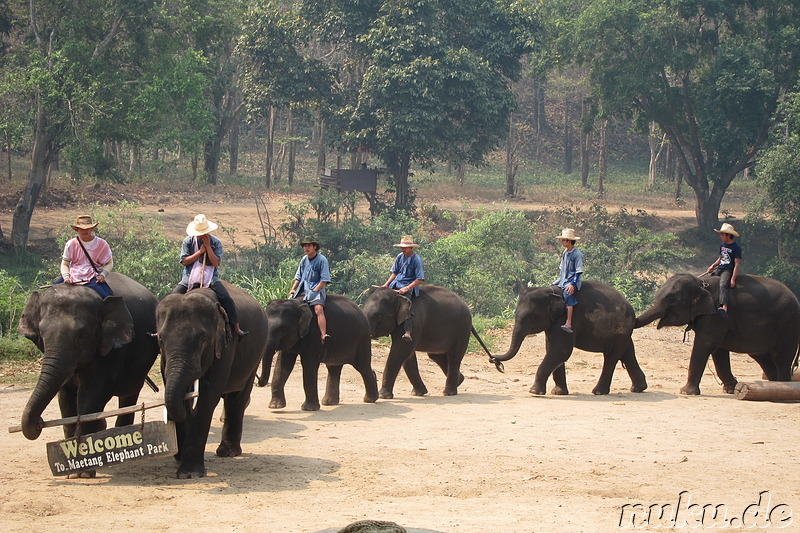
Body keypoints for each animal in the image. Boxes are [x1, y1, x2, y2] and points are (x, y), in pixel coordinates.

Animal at [16, 274, 159, 474]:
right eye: (42, 334)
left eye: (81, 336)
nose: (39, 422)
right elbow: (65, 397)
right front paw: (72, 468)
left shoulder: (109, 349)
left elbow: (90, 396)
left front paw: (83, 470)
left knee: (129, 395)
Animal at [156, 282, 268, 478]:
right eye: (160, 340)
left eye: (203, 339)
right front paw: (180, 459)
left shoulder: (226, 344)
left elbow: (208, 395)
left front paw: (189, 474)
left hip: (256, 354)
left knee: (237, 398)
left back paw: (228, 452)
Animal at [488, 282, 648, 394]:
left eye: (531, 317)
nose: (493, 359)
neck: (551, 291)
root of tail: (631, 310)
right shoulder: (553, 323)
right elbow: (553, 350)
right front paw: (558, 393)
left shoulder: (565, 320)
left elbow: (561, 351)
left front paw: (534, 391)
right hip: (622, 332)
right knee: (627, 352)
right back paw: (638, 388)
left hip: (621, 328)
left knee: (611, 356)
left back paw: (598, 392)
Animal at [632, 272, 800, 392]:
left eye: (671, 298)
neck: (701, 283)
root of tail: (795, 297)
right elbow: (719, 351)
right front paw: (730, 389)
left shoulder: (717, 315)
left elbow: (704, 345)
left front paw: (686, 392)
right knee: (762, 357)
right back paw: (773, 384)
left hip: (788, 326)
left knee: (781, 359)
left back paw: (783, 386)